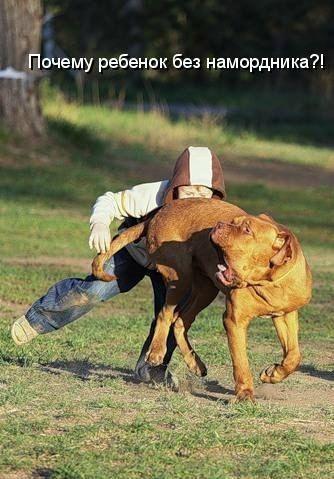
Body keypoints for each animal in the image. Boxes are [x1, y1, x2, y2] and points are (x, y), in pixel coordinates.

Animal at [92, 198, 312, 402]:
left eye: (247, 230)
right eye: (234, 222)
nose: (220, 224)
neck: (269, 282)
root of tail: (157, 214)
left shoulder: (286, 314)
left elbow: (294, 355)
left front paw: (273, 373)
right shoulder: (234, 320)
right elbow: (241, 361)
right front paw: (245, 394)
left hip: (206, 289)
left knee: (180, 320)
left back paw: (195, 363)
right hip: (180, 276)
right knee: (165, 314)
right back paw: (156, 352)